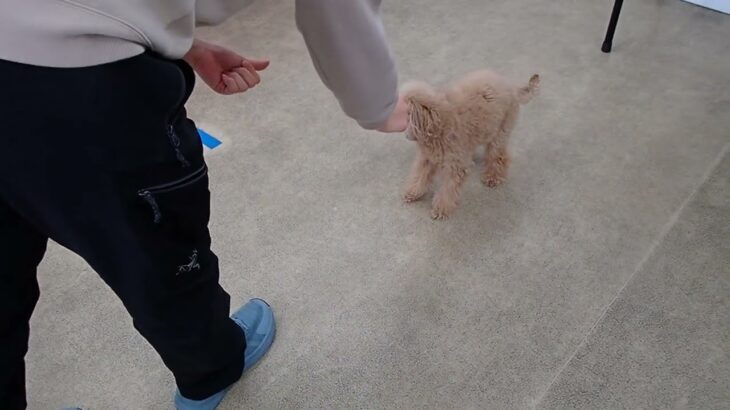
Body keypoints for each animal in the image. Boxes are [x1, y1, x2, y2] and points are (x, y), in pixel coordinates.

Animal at [400, 71, 536, 218]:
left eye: (406, 115)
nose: (405, 134)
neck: (439, 125)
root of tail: (511, 87)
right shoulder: (427, 158)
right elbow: (419, 176)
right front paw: (413, 192)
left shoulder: (456, 166)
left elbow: (448, 188)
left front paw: (441, 208)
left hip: (500, 132)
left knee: (498, 156)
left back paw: (493, 177)